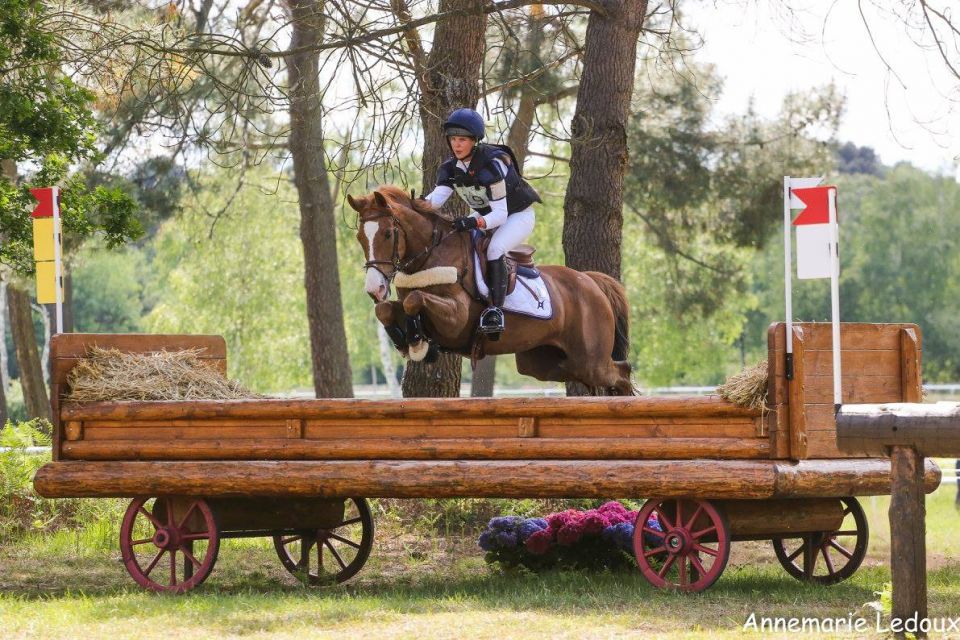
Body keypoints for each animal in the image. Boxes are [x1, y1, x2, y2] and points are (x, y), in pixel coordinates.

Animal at [346, 185, 636, 396]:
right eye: (360, 237)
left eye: (387, 234)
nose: (374, 288)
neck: (430, 255)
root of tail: (590, 281)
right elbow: (386, 309)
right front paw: (404, 340)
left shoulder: (457, 318)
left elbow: (414, 300)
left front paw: (417, 342)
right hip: (546, 362)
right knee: (596, 376)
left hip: (589, 359)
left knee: (621, 372)